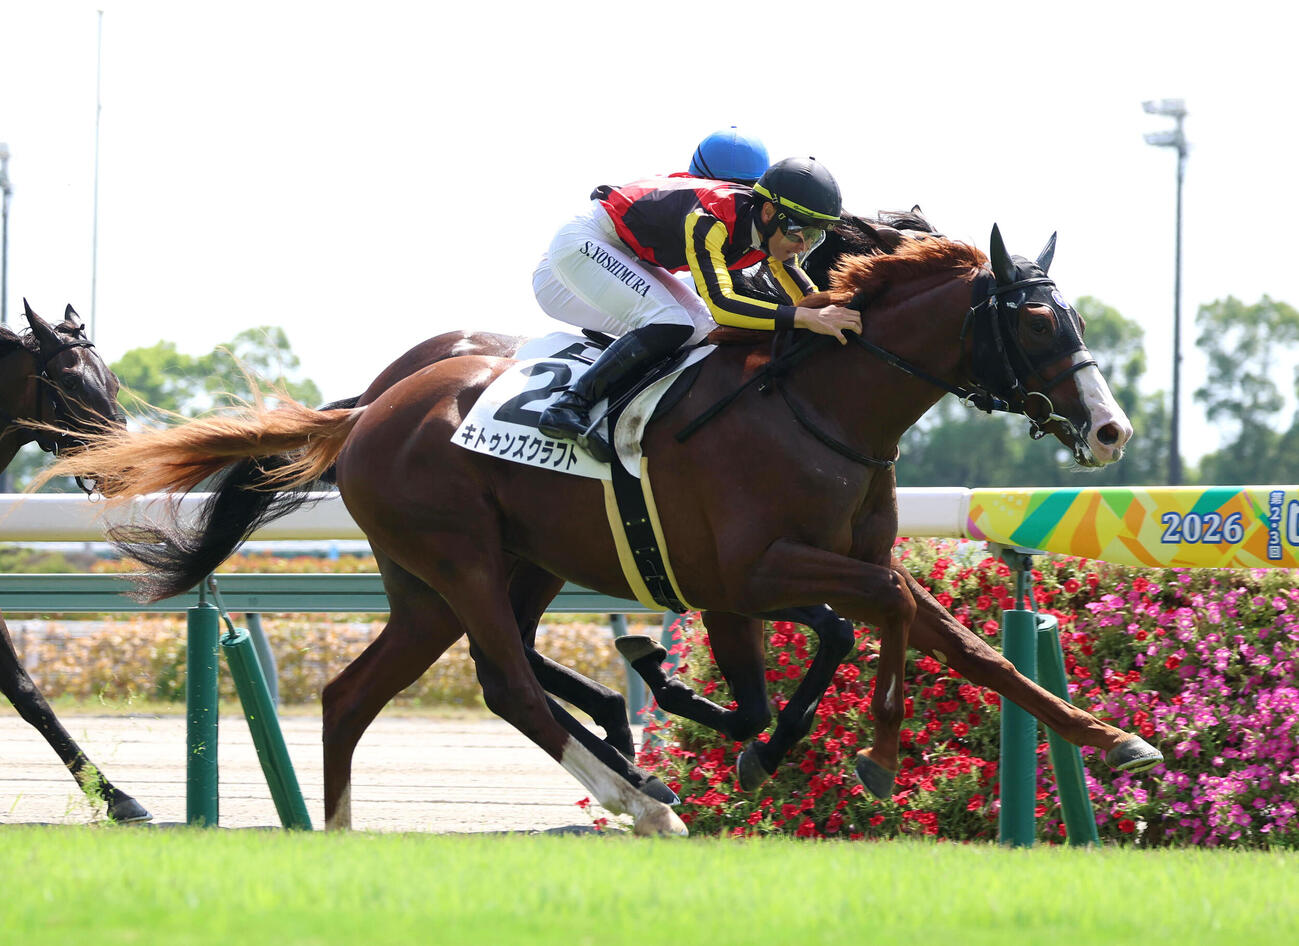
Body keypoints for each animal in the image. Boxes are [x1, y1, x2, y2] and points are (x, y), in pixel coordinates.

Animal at [43, 227, 1162, 836]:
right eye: (1037, 323)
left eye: (1073, 320)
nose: (1109, 428)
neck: (821, 408)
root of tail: (367, 412)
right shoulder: (753, 571)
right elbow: (865, 623)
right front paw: (871, 754)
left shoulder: (816, 567)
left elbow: (965, 645)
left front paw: (1116, 738)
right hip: (462, 560)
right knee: (507, 683)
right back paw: (640, 801)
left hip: (454, 583)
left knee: (354, 693)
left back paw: (349, 829)